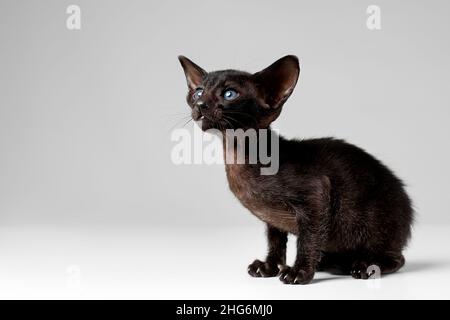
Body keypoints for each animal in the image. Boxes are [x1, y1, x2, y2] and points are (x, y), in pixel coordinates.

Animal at [178, 55, 414, 284]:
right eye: (199, 91)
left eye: (230, 94)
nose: (200, 104)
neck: (238, 156)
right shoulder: (272, 219)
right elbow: (275, 241)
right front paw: (269, 267)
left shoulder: (316, 192)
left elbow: (307, 239)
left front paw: (299, 271)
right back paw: (333, 263)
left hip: (371, 226)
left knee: (397, 258)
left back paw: (365, 266)